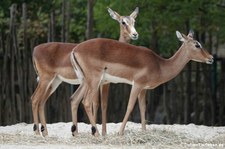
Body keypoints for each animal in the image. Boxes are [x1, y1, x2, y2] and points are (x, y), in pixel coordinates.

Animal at [30, 7, 139, 137]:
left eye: (134, 21)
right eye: (123, 22)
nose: (135, 34)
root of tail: (35, 49)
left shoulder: (100, 83)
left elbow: (98, 104)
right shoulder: (103, 83)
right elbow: (99, 104)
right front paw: (101, 132)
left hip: (55, 82)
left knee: (42, 102)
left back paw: (46, 133)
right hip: (46, 80)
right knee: (35, 99)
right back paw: (37, 132)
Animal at [71, 30, 214, 136]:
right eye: (197, 45)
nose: (211, 58)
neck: (160, 65)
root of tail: (75, 50)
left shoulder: (144, 89)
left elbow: (142, 108)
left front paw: (144, 131)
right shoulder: (137, 85)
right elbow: (130, 106)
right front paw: (120, 132)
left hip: (86, 82)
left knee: (74, 99)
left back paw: (76, 133)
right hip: (94, 81)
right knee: (86, 101)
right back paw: (97, 134)